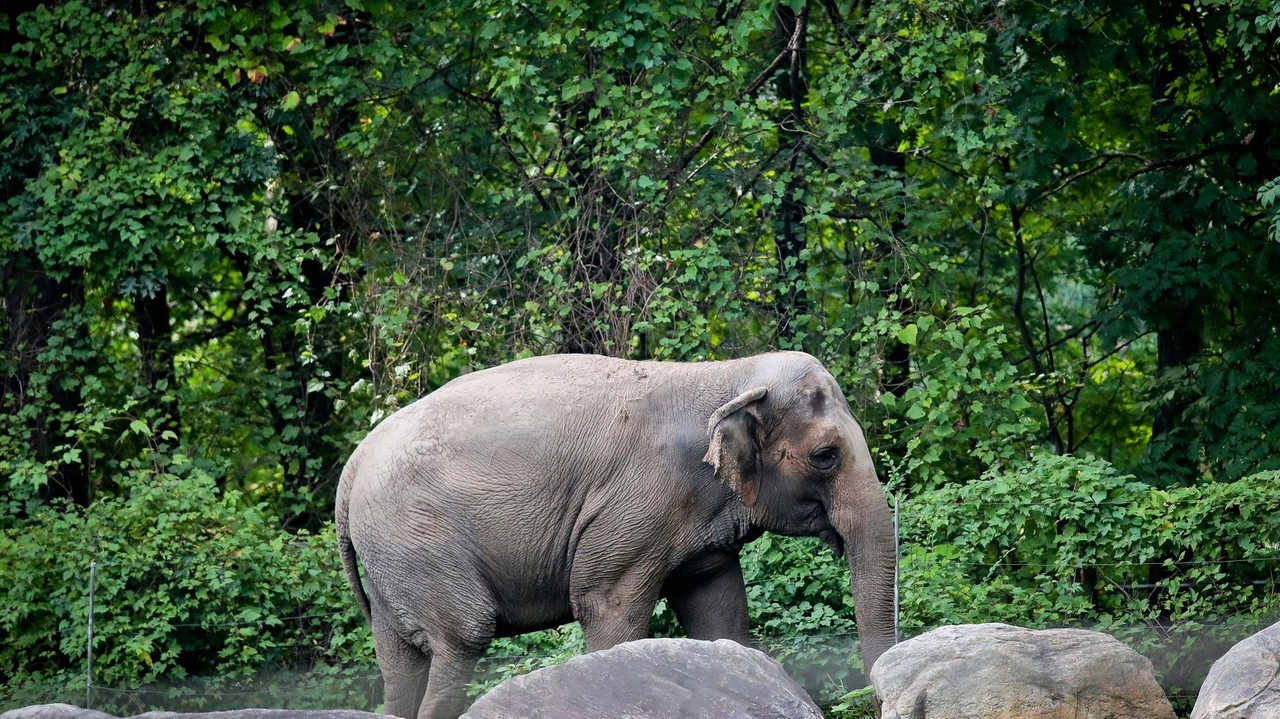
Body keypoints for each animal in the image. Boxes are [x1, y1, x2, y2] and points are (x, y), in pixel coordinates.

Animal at [335, 351, 896, 719]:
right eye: (825, 456)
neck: (724, 373)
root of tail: (351, 467)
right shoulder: (634, 507)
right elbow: (607, 607)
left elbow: (719, 610)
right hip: (418, 539)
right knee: (461, 638)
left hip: (391, 558)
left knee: (399, 662)